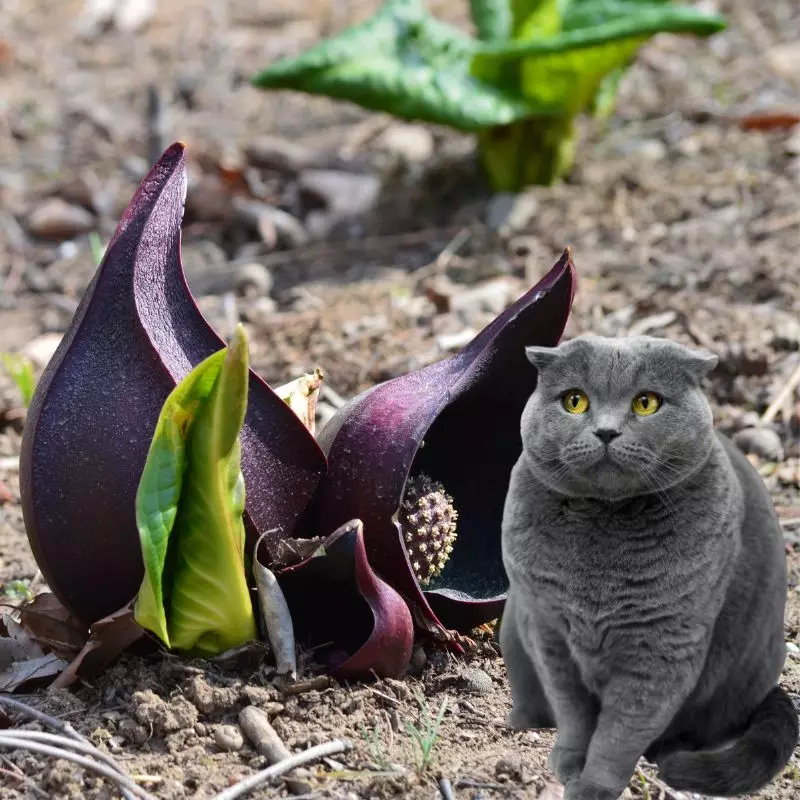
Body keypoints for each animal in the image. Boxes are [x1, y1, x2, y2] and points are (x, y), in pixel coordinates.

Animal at [500, 334, 792, 800]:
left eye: (646, 403)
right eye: (575, 401)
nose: (606, 431)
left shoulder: (662, 647)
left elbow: (621, 731)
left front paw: (593, 786)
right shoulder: (548, 632)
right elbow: (573, 711)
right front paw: (569, 761)